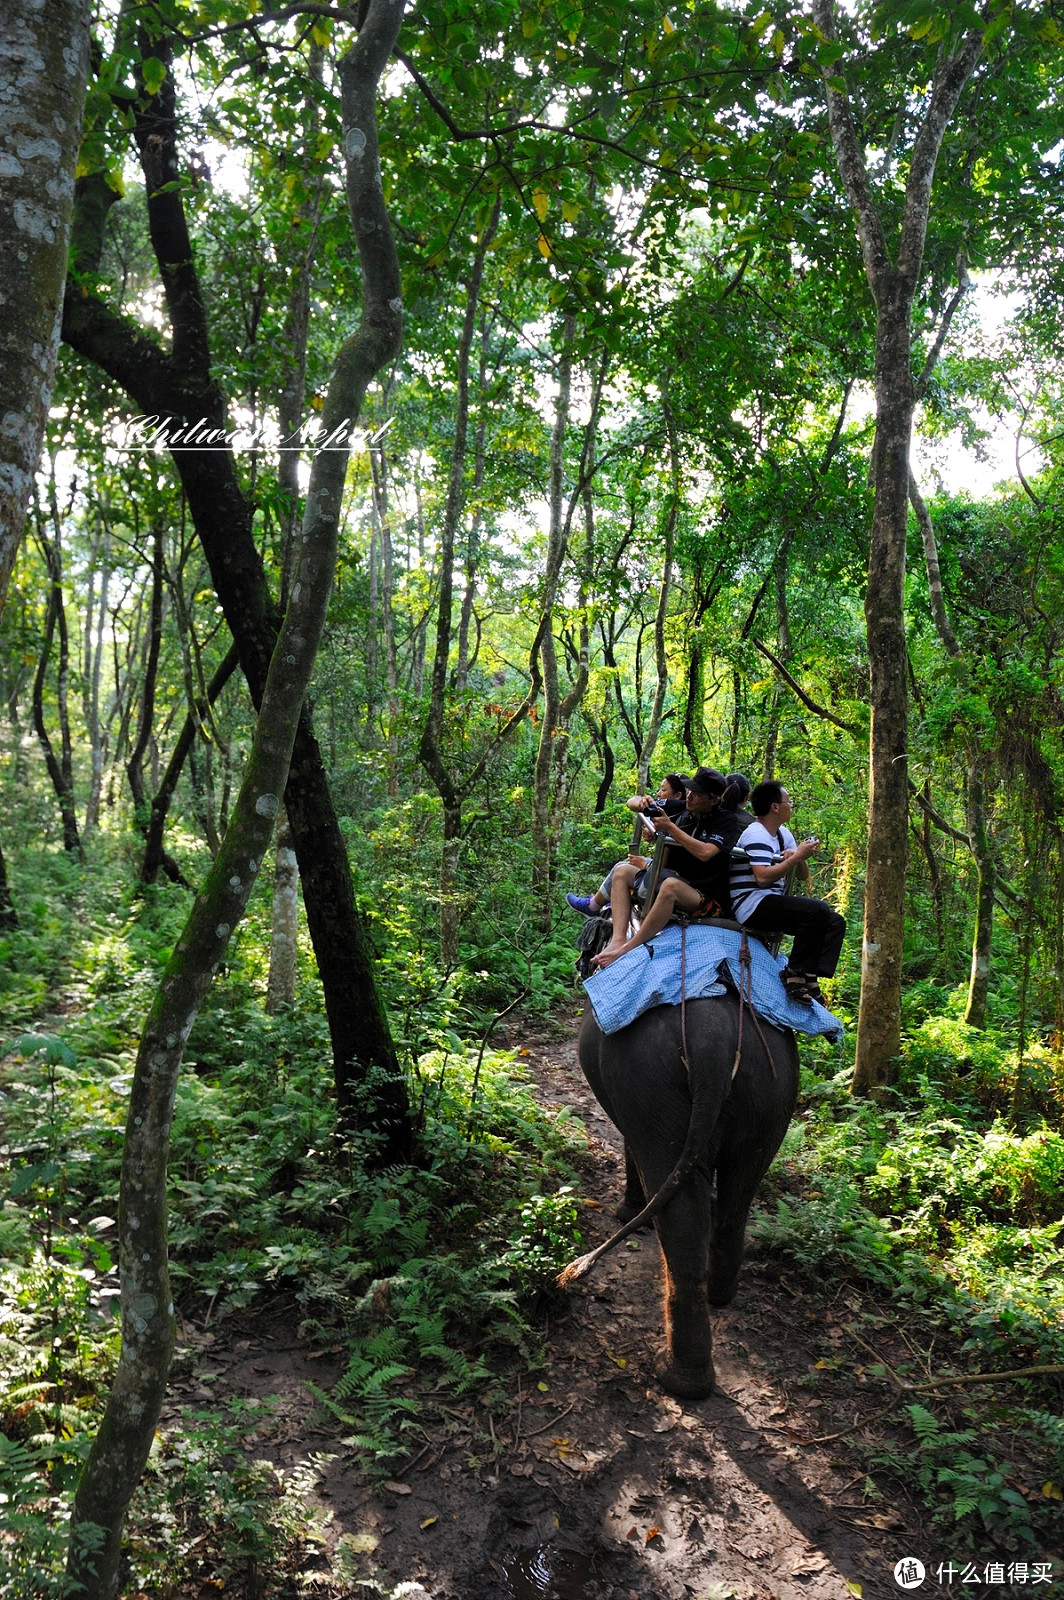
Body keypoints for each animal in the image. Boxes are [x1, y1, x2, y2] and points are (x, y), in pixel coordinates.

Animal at [563, 992, 796, 1395]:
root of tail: (714, 1043)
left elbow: (630, 1142)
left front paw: (626, 1215)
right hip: (772, 1093)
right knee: (740, 1192)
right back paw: (719, 1295)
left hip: (652, 1089)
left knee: (681, 1215)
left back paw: (678, 1378)